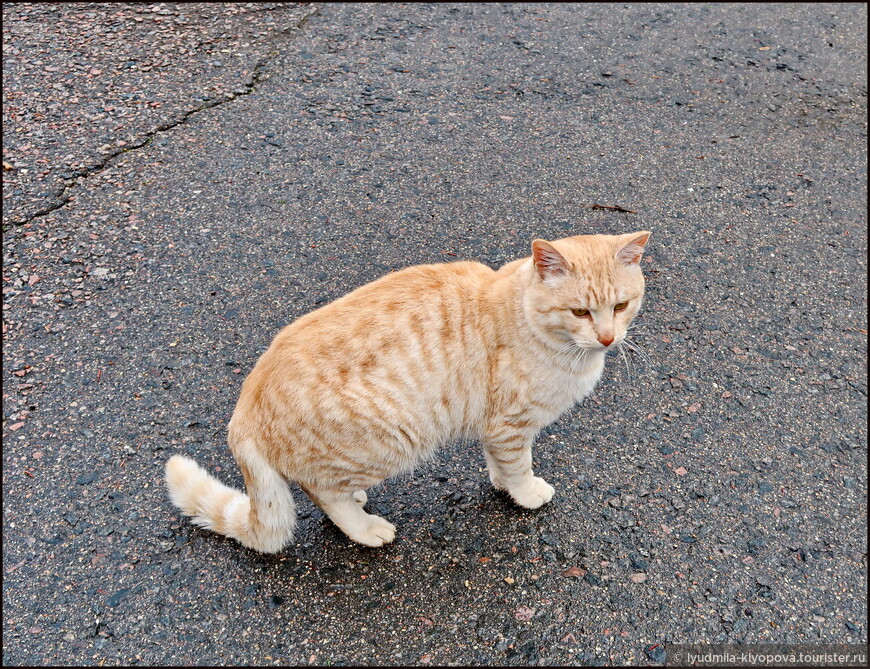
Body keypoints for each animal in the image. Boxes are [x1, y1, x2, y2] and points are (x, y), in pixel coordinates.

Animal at [167, 232, 652, 552]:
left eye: (621, 306)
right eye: (580, 312)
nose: (608, 338)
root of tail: (245, 403)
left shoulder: (496, 428)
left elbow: (499, 462)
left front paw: (502, 484)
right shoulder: (511, 425)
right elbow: (519, 466)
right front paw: (527, 492)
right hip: (391, 440)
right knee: (322, 492)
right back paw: (365, 528)